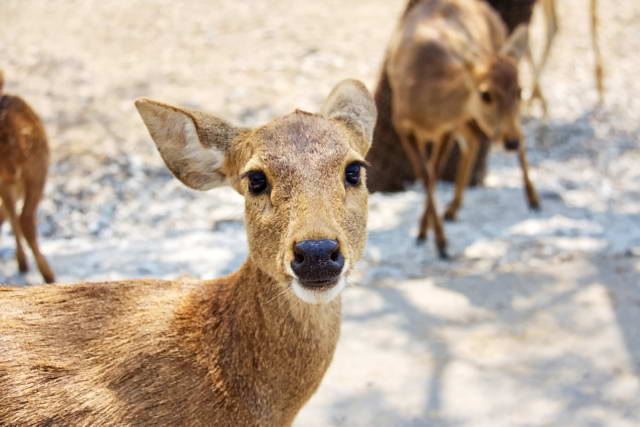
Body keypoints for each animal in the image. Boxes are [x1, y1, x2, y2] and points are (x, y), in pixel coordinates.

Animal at [0, 69, 55, 284]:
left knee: (17, 216)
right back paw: (48, 275)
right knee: (25, 218)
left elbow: (9, 214)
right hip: (36, 171)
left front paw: (21, 263)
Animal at [388, 0, 536, 260]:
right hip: (466, 119)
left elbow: (434, 173)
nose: (510, 142)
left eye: (519, 91)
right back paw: (452, 209)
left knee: (495, 137)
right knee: (475, 140)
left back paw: (533, 199)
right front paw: (427, 234)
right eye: (486, 94)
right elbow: (425, 175)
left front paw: (439, 241)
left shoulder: (447, 127)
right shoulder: (402, 124)